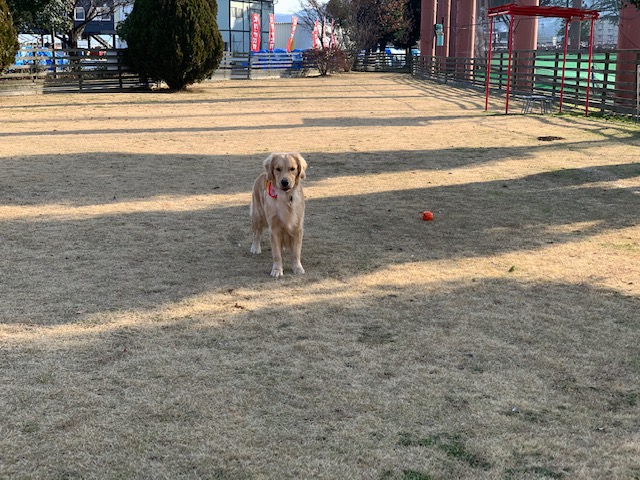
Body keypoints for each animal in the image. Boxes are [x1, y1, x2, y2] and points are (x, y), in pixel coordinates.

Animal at [250, 152, 308, 280]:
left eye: (292, 169)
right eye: (278, 169)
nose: (284, 182)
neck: (286, 197)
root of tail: (262, 174)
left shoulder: (297, 228)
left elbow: (296, 252)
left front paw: (297, 268)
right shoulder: (274, 229)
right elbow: (276, 254)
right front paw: (277, 270)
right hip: (258, 215)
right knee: (256, 233)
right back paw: (255, 248)